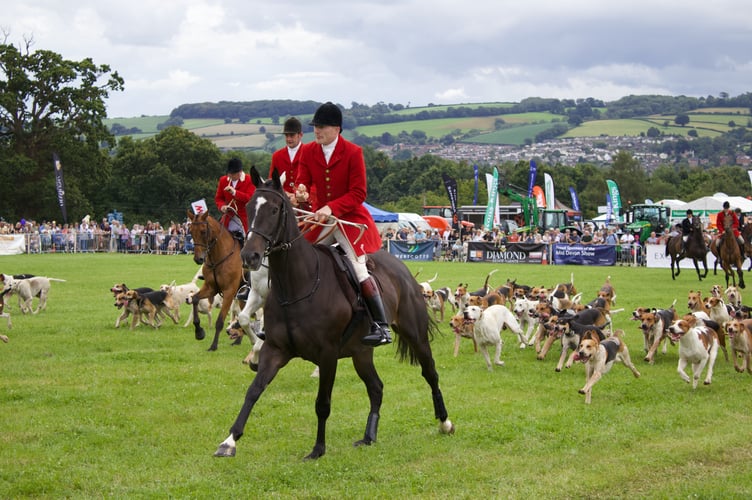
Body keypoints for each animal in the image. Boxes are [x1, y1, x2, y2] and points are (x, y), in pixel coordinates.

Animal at [186, 211, 242, 352]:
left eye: (203, 231)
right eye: (191, 231)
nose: (198, 259)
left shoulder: (229, 292)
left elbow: (220, 321)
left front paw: (213, 345)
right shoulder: (210, 288)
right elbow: (195, 299)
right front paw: (199, 332)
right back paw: (238, 341)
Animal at [214, 168, 456, 460]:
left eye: (274, 209)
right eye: (249, 207)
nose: (249, 256)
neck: (297, 286)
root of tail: (401, 268)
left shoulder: (328, 355)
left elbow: (322, 403)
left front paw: (318, 449)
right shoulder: (275, 350)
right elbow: (254, 390)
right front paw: (229, 440)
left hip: (415, 335)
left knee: (430, 373)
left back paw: (445, 422)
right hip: (361, 352)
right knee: (376, 387)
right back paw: (368, 436)